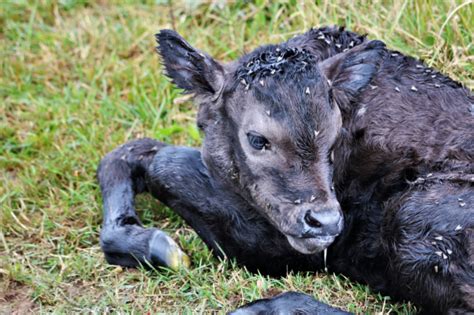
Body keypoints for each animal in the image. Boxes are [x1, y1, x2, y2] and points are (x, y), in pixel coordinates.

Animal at [97, 26, 474, 314]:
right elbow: (129, 152)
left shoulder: (280, 245)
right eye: (257, 139)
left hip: (411, 215)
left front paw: (163, 249)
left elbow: (162, 162)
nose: (325, 222)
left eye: (334, 133)